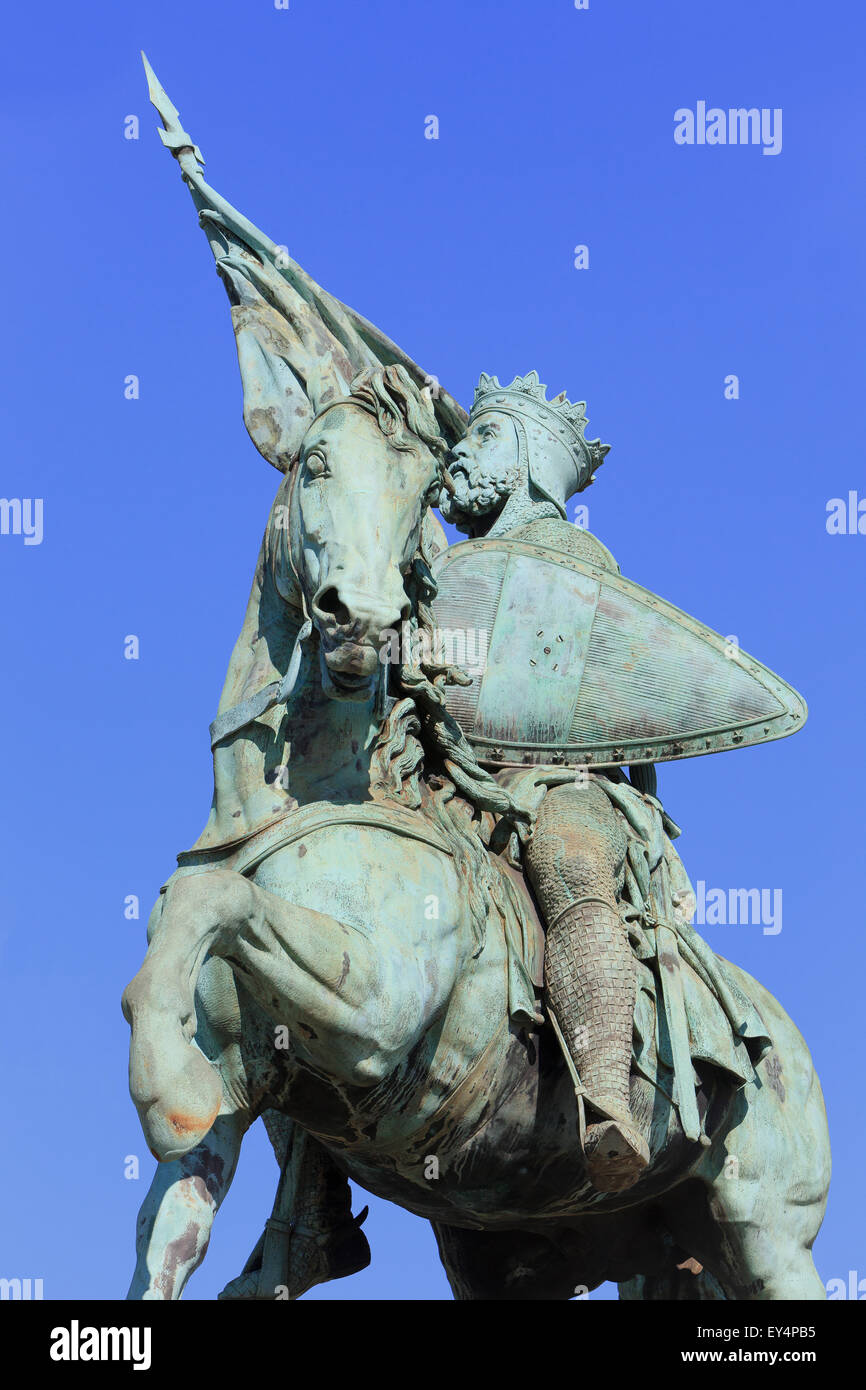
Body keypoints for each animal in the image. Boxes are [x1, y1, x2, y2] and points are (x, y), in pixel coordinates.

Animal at [120, 364, 828, 1295]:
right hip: (516, 1251)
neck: (313, 803)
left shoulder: (378, 1011)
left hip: (767, 1233)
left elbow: (217, 902)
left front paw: (162, 1086)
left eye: (420, 493)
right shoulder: (233, 1113)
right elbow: (166, 1236)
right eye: (314, 463)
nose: (362, 619)